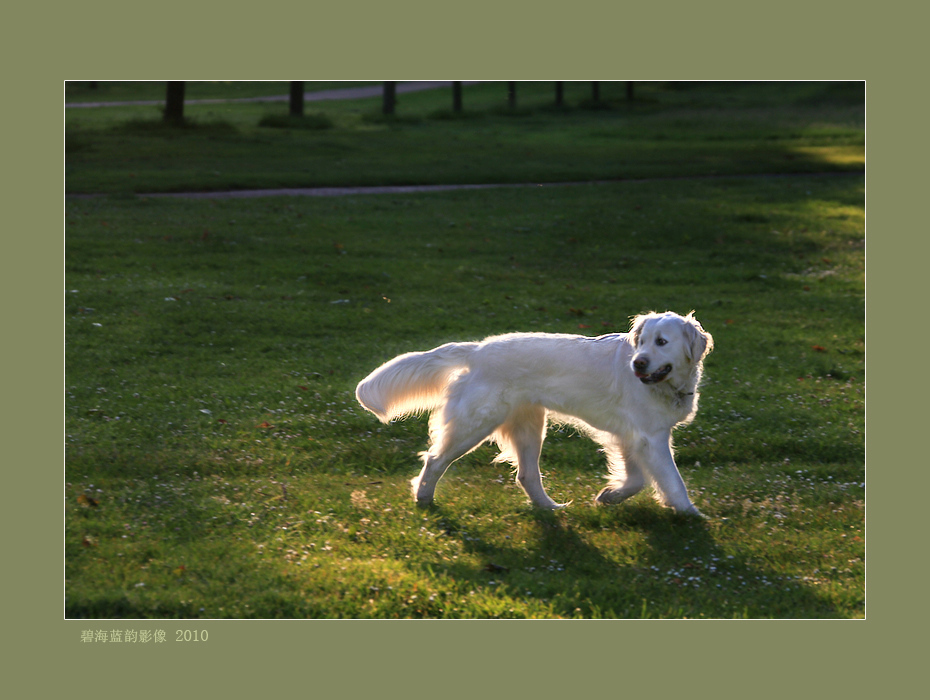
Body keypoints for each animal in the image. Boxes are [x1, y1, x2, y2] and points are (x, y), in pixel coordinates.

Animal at [354, 312, 712, 516]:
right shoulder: (651, 438)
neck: (668, 385)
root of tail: (477, 349)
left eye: (661, 342)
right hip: (474, 424)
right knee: (434, 460)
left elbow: (636, 479)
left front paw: (610, 496)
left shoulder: (630, 436)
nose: (637, 363)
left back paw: (549, 509)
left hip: (529, 426)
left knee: (526, 475)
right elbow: (672, 481)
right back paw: (424, 499)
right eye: (642, 342)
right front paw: (692, 514)